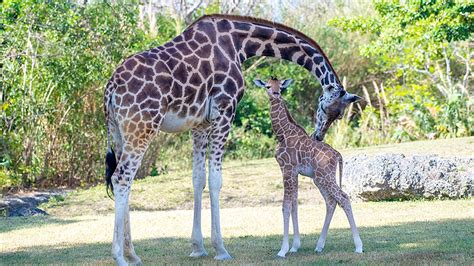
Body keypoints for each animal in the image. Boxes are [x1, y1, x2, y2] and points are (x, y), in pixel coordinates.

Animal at [256, 76, 362, 258]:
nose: (275, 94)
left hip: (324, 177)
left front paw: (283, 250)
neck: (282, 132)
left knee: (343, 198)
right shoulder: (295, 172)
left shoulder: (286, 168)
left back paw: (358, 246)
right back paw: (319, 246)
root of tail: (338, 155)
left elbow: (285, 206)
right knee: (331, 201)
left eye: (281, 87)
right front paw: (294, 246)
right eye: (268, 86)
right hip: (319, 178)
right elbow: (294, 204)